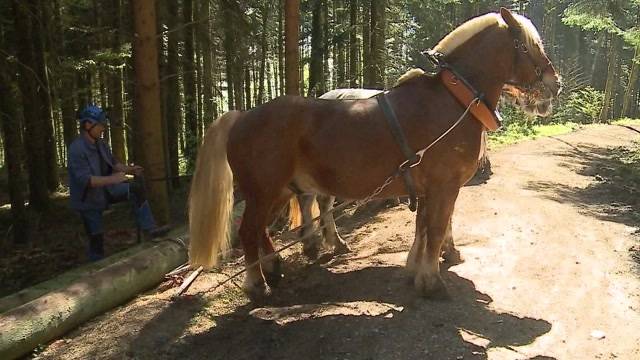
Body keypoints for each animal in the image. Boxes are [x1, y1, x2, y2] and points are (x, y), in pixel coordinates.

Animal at [189, 8, 560, 300]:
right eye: (530, 46)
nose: (555, 84)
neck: (453, 101)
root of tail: (242, 115)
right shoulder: (445, 185)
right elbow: (437, 227)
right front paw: (432, 281)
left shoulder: (428, 187)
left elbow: (424, 227)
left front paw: (415, 270)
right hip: (263, 191)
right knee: (249, 233)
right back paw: (257, 284)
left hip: (276, 191)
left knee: (264, 230)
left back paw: (277, 264)